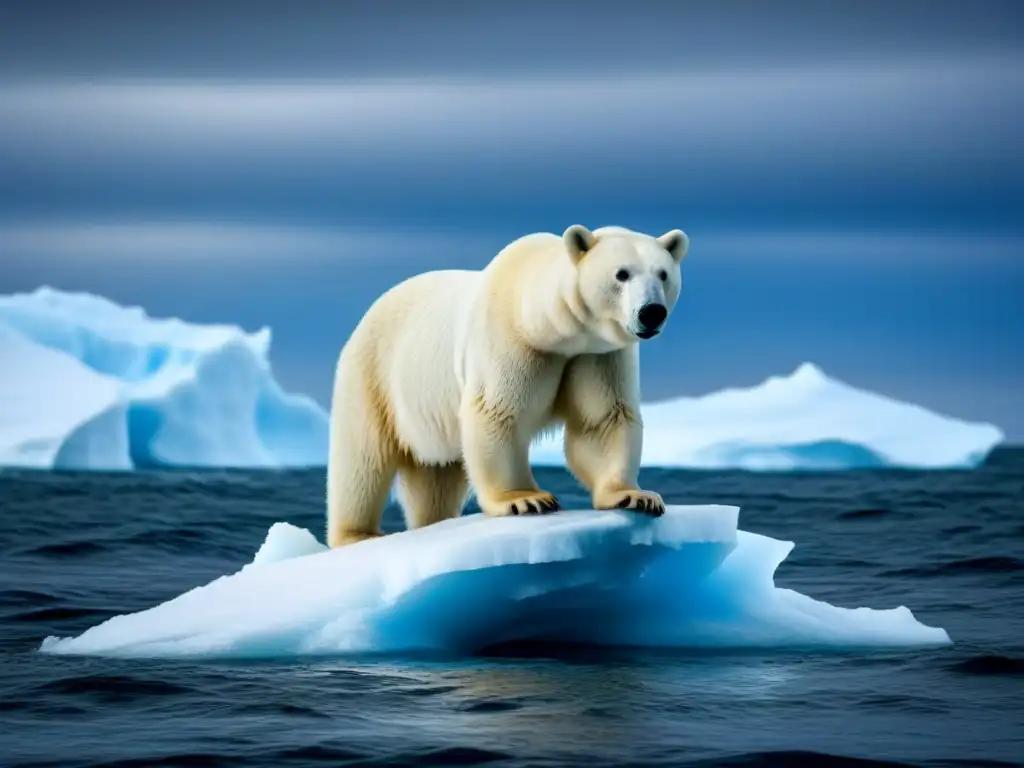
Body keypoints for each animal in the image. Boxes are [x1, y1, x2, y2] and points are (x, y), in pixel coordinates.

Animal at [325, 222, 688, 548]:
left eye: (663, 274)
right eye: (621, 274)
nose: (652, 312)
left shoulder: (596, 354)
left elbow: (602, 419)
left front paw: (634, 496)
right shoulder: (510, 340)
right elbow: (498, 412)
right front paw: (525, 500)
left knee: (436, 474)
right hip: (375, 376)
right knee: (362, 462)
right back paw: (358, 534)